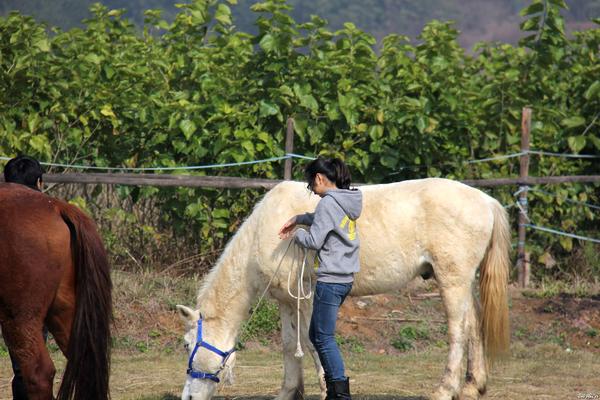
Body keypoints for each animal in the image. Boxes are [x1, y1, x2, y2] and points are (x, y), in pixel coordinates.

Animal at [176, 178, 510, 400]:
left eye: (186, 343)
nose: (188, 397)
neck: (268, 232)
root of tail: (486, 201)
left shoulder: (308, 296)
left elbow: (312, 343)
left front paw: (326, 390)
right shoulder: (287, 301)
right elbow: (289, 345)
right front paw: (289, 391)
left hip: (452, 280)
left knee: (458, 331)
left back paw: (444, 389)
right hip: (464, 282)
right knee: (473, 324)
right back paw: (473, 386)